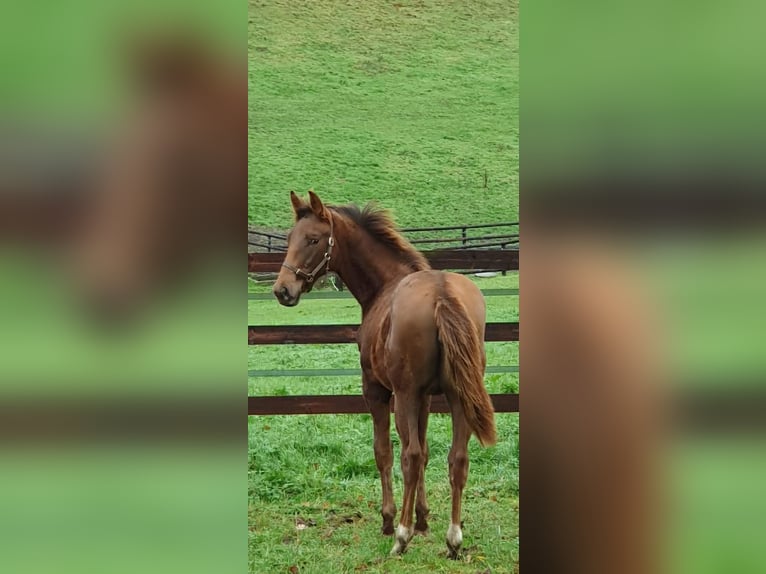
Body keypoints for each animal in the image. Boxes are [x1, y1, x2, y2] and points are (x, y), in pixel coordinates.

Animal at [272, 190, 497, 558]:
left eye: (314, 239)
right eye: (290, 238)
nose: (282, 290)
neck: (384, 285)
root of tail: (442, 294)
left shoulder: (378, 391)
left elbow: (385, 451)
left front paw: (392, 520)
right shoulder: (425, 398)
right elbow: (427, 451)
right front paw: (423, 519)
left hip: (403, 395)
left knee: (410, 456)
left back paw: (401, 537)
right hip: (458, 395)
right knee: (457, 458)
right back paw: (453, 538)